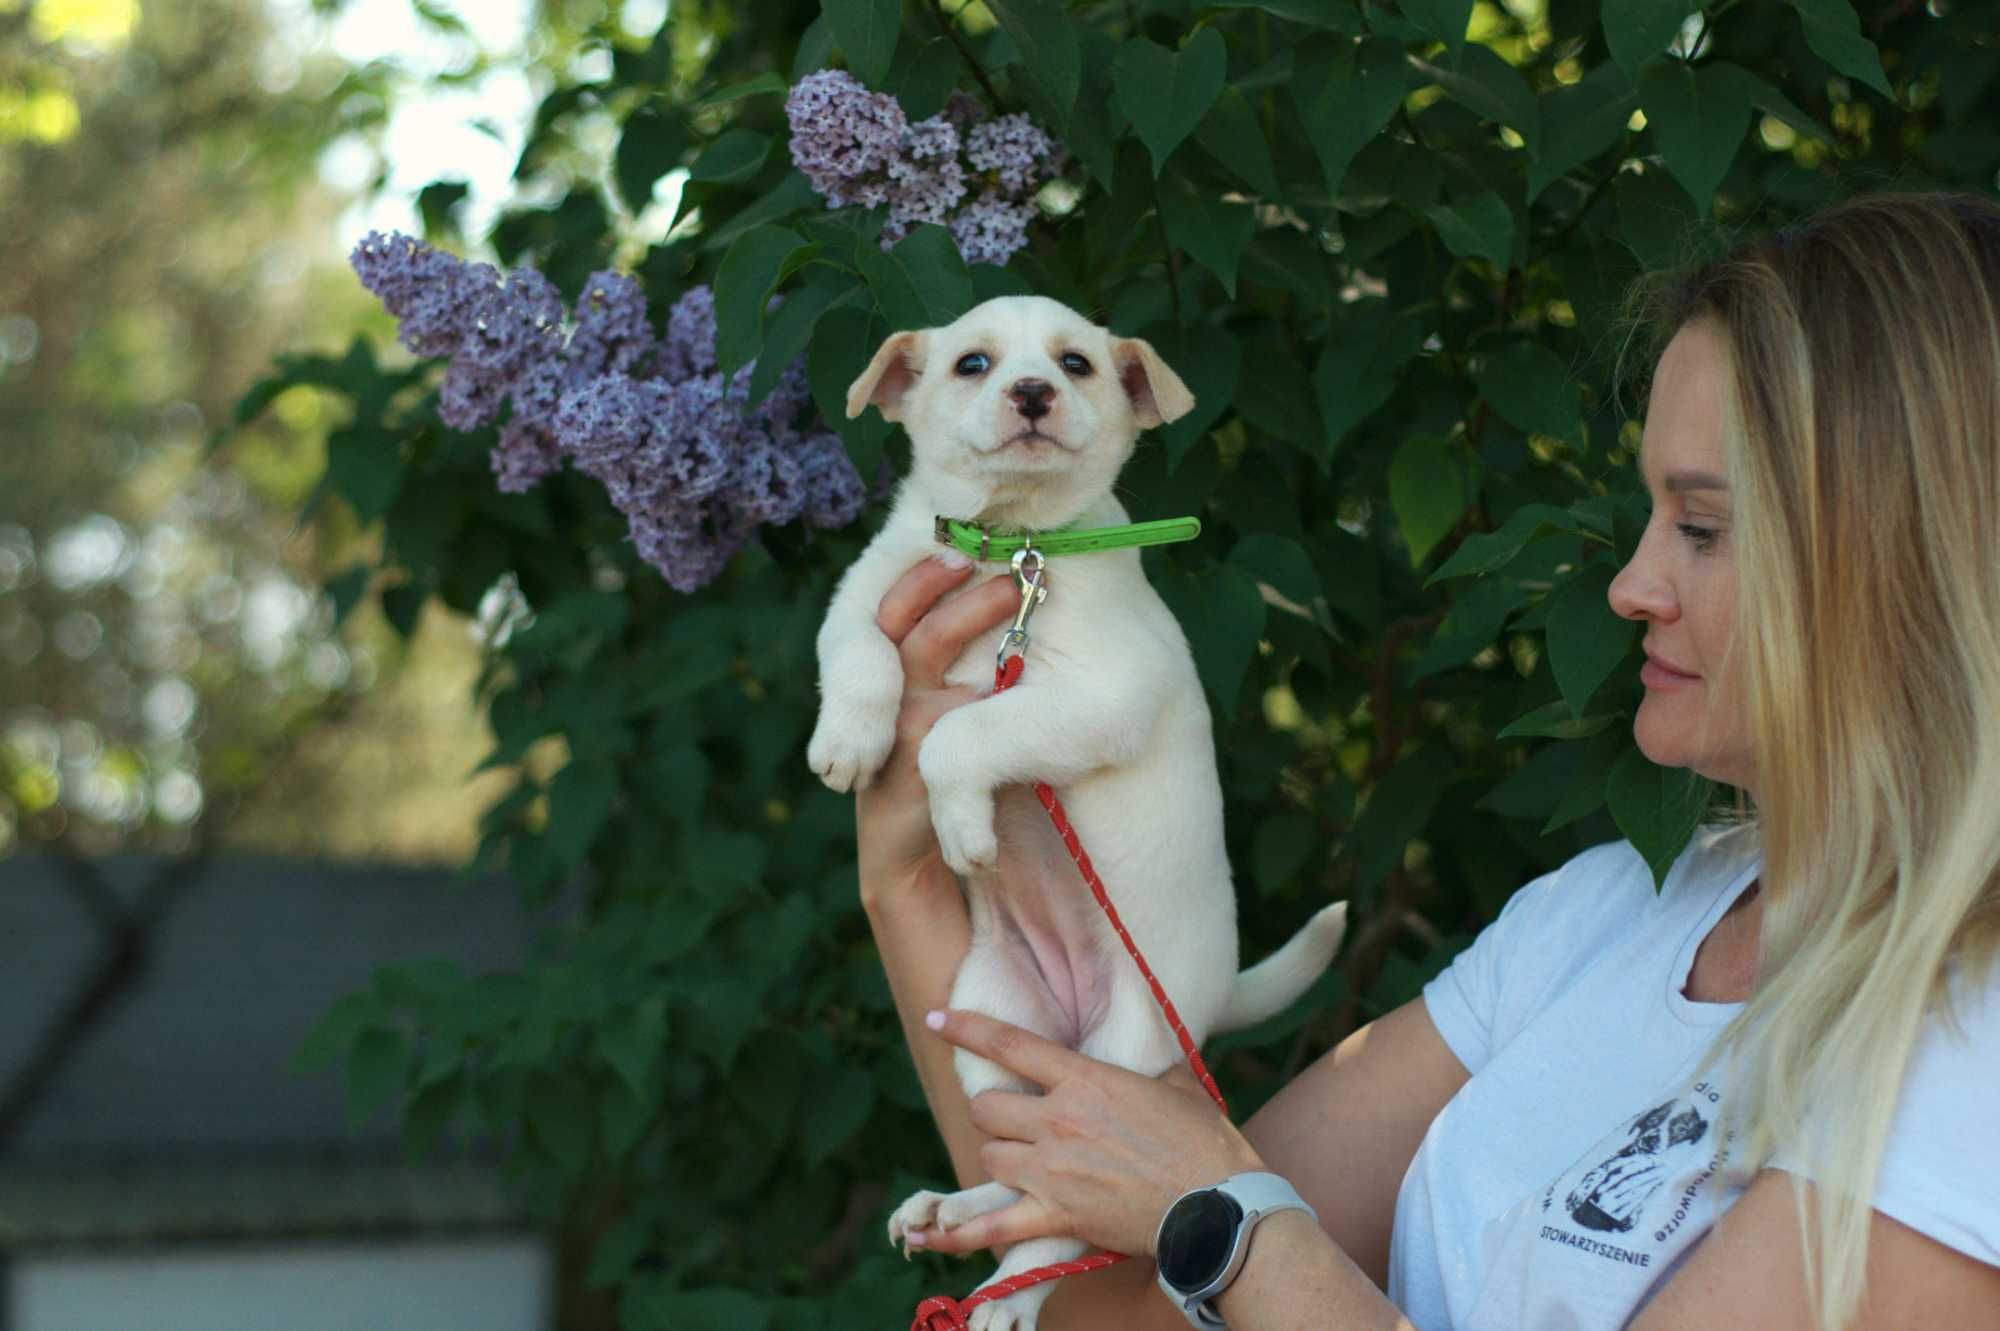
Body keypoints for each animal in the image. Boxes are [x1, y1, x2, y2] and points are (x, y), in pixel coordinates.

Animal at [800, 295, 1344, 1319]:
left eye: (1077, 364)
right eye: (972, 363)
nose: (1031, 391)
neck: (1012, 555)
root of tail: (1220, 986)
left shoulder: (1100, 693)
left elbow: (957, 734)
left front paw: (961, 822)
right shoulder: (872, 589)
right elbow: (859, 652)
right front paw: (849, 739)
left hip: (1120, 1057)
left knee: (1062, 1211)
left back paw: (1011, 1292)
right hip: (989, 1022)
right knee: (1019, 1173)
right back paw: (953, 1210)